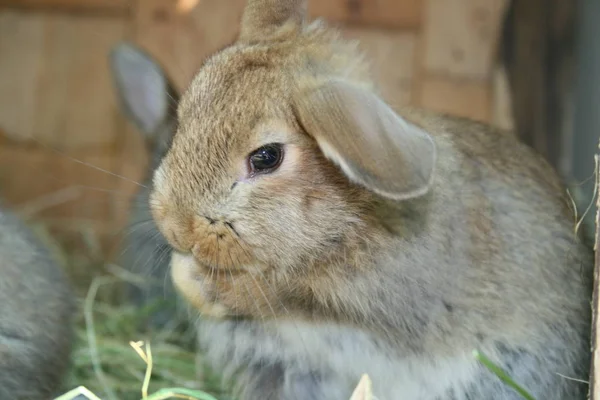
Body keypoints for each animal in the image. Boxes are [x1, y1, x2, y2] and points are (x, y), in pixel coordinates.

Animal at [146, 1, 596, 398]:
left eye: (266, 157)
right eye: (185, 115)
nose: (176, 228)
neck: (343, 215)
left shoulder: (357, 298)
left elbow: (277, 296)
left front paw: (196, 279)